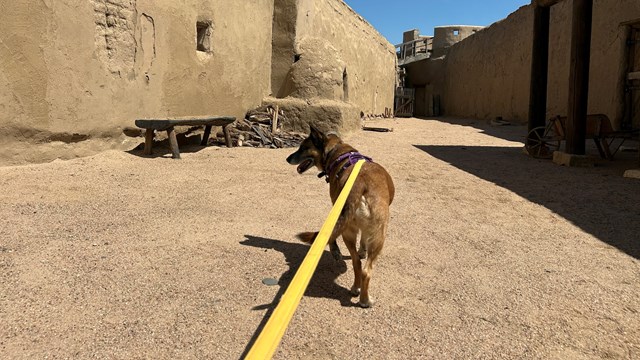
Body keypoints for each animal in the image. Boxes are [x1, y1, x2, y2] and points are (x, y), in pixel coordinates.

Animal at [286, 126, 396, 306]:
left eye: (303, 148)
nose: (287, 158)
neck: (338, 153)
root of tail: (359, 185)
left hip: (359, 232)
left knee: (358, 264)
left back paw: (357, 291)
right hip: (377, 235)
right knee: (365, 269)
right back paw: (364, 299)